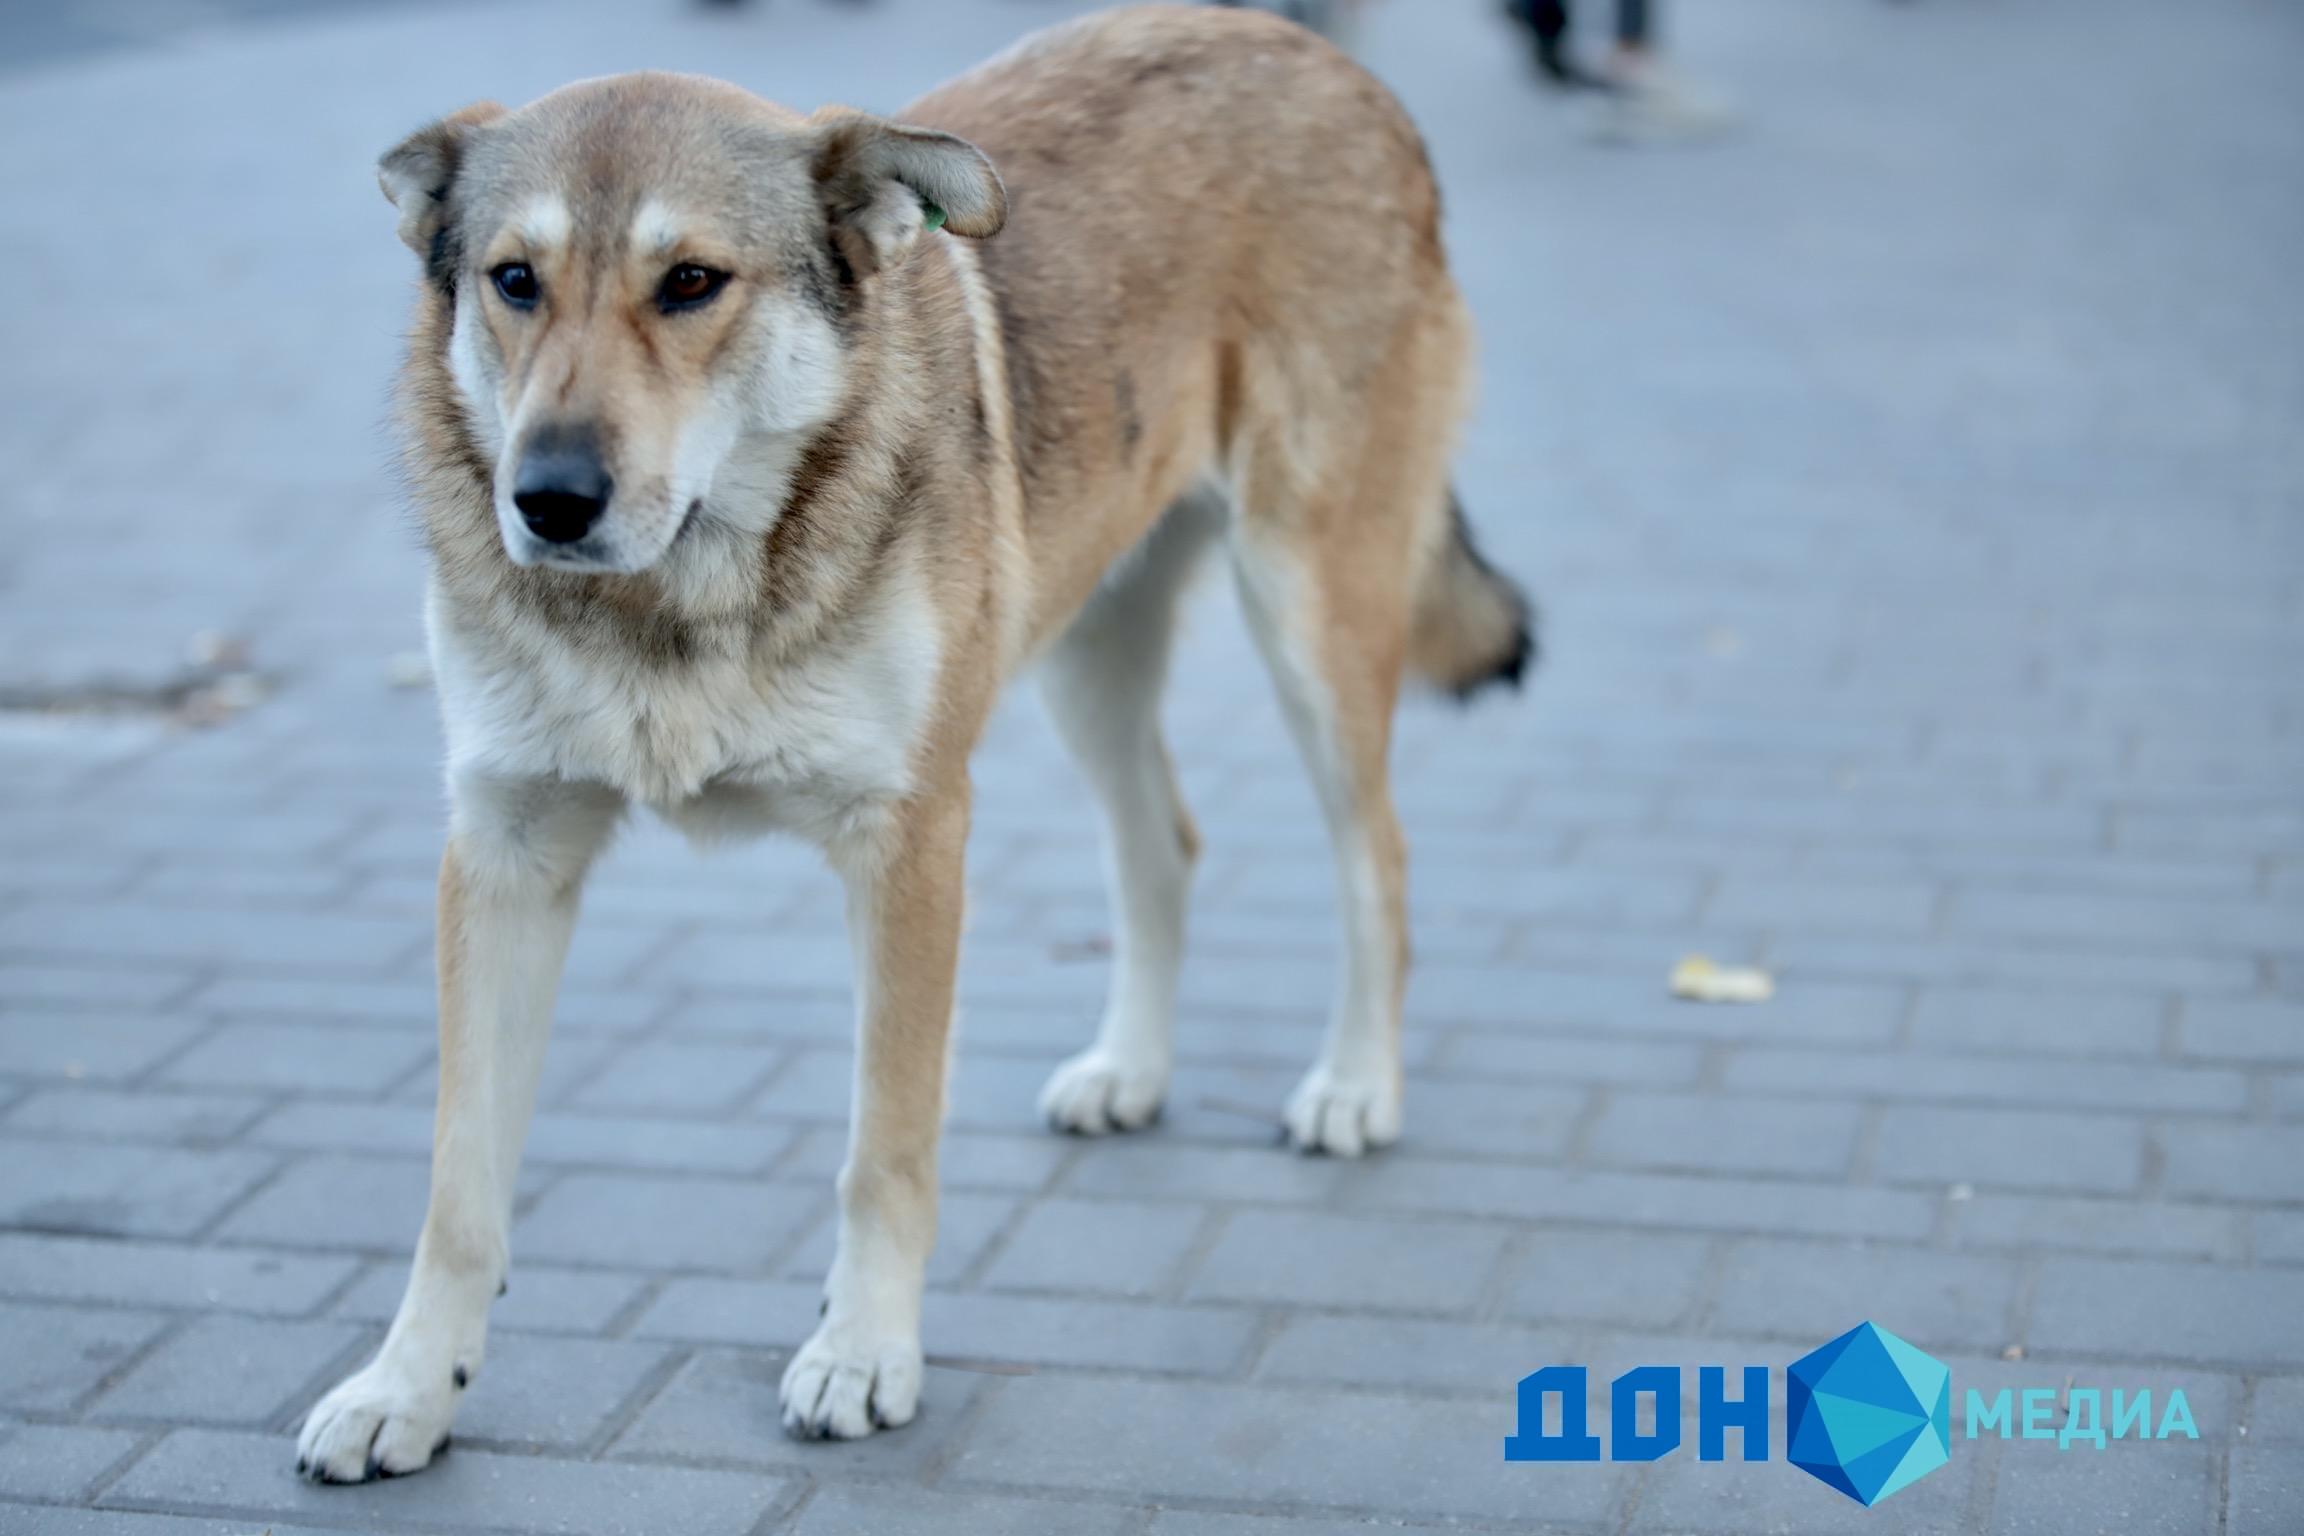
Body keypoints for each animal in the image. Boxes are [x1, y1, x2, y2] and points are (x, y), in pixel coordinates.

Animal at [297, 6, 1539, 1483]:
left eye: (692, 283)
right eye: (514, 281)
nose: (545, 499)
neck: (681, 603)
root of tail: (1317, 53)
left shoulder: (909, 843)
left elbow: (882, 1150)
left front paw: (862, 1354)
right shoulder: (505, 849)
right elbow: (458, 1185)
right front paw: (408, 1387)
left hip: (1308, 618)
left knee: (1377, 865)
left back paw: (1353, 1087)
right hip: (1084, 657)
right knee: (1164, 848)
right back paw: (1131, 1072)